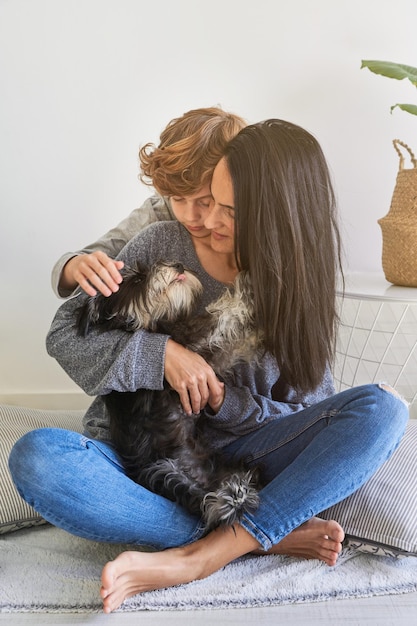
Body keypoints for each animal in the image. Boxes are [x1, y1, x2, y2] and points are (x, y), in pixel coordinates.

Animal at [76, 258, 262, 528]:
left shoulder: (211, 359)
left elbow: (234, 343)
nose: (178, 265)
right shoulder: (193, 341)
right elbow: (221, 314)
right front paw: (247, 286)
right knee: (215, 505)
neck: (145, 325)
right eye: (137, 279)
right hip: (168, 471)